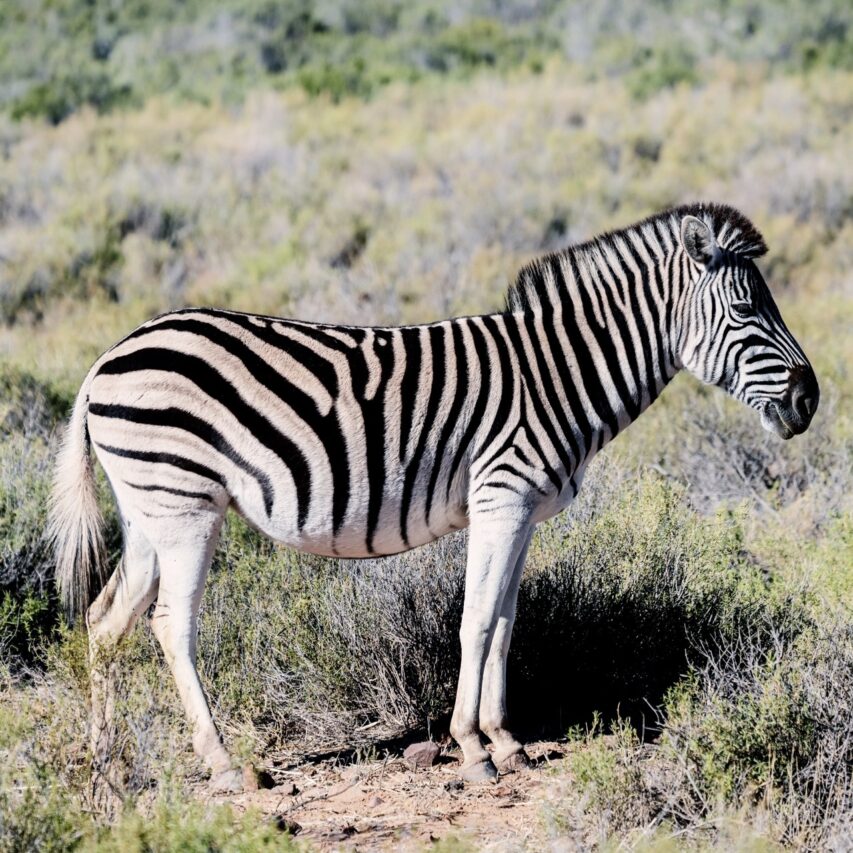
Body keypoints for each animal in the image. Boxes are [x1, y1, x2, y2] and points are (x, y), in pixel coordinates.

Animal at [50, 203, 818, 792]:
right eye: (747, 309)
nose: (810, 400)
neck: (560, 375)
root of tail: (106, 358)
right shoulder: (501, 495)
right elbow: (475, 620)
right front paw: (474, 751)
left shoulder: (522, 512)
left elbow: (505, 620)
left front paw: (507, 741)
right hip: (184, 506)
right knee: (169, 625)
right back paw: (222, 765)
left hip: (148, 510)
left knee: (105, 620)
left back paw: (106, 766)